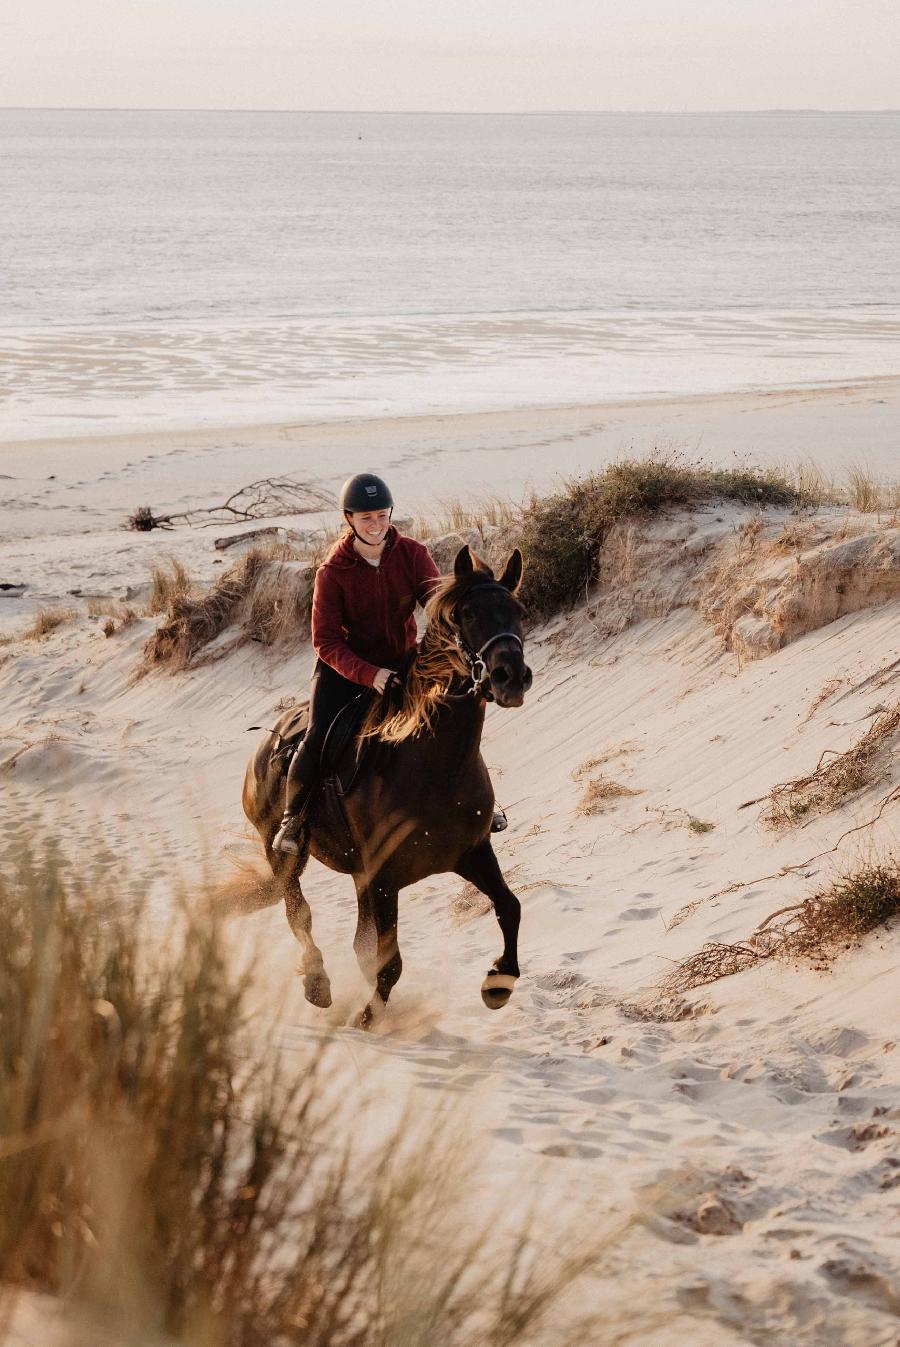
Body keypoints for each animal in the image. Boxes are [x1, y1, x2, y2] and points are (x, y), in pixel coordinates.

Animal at [242, 541, 530, 1023]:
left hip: (359, 876)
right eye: (467, 614)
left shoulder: (471, 853)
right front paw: (366, 1018)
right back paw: (318, 984)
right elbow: (388, 960)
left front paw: (499, 982)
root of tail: (267, 742)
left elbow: (510, 907)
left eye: (519, 612)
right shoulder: (382, 875)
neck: (433, 766)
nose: (511, 677)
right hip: (281, 851)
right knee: (298, 911)